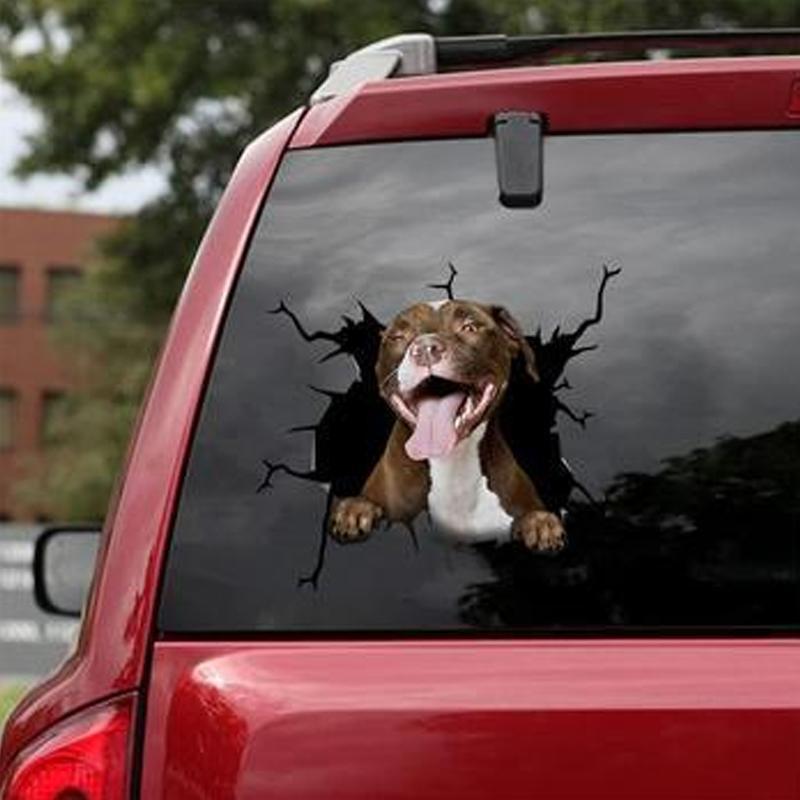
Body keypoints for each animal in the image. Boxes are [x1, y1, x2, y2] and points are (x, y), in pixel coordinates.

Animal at [328, 300, 564, 552]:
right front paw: (355, 509)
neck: (452, 465)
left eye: (470, 327)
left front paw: (539, 522)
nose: (425, 348)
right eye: (398, 336)